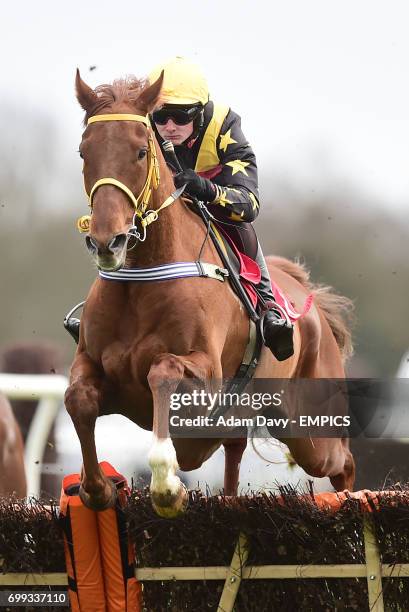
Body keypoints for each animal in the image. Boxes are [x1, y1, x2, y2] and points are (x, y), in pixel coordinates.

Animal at [66, 69, 354, 512]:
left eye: (139, 152)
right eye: (84, 153)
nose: (106, 242)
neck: (143, 279)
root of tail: (312, 306)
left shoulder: (206, 377)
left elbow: (162, 371)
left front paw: (167, 485)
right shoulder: (95, 368)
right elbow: (77, 399)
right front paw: (97, 488)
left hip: (308, 428)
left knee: (343, 461)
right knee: (235, 453)